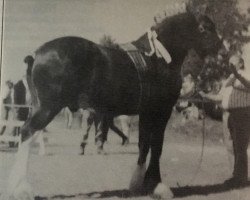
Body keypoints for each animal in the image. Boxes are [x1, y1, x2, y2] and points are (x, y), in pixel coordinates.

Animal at [5, 7, 221, 200]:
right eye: (205, 28)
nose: (220, 49)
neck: (158, 58)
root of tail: (36, 54)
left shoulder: (146, 112)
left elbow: (144, 145)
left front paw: (137, 184)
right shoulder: (161, 111)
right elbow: (157, 146)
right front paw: (158, 186)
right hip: (47, 108)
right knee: (27, 132)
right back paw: (22, 189)